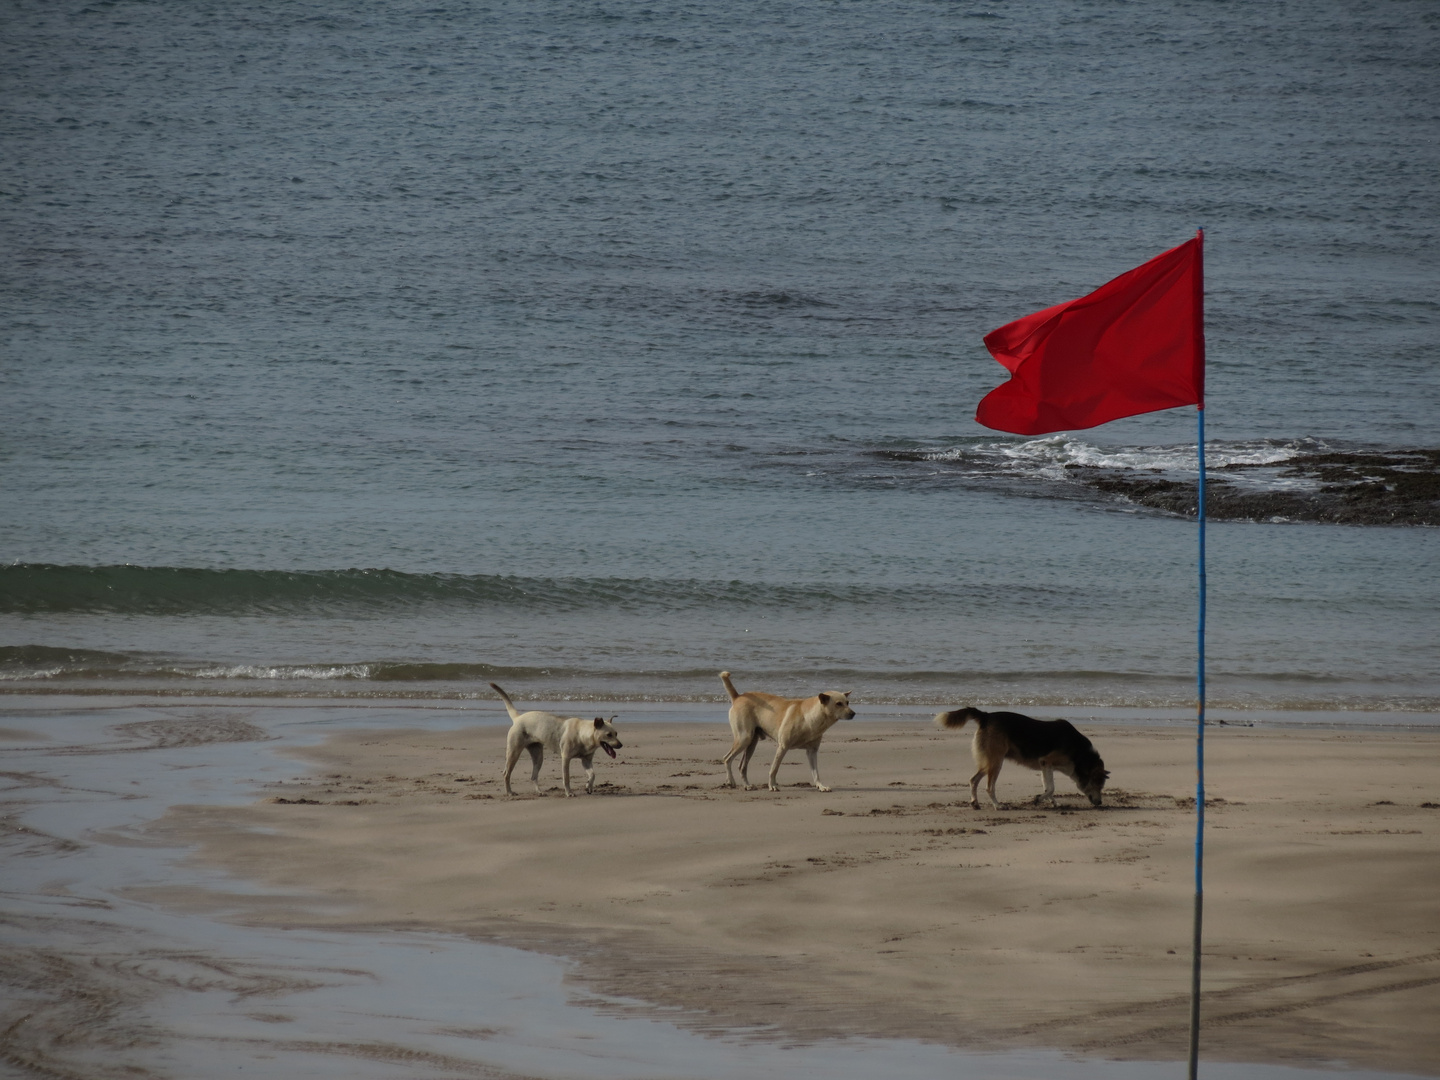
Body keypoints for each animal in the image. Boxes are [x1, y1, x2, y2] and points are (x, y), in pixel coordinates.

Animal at [492, 679, 622, 800]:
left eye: (616, 733)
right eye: (608, 734)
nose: (620, 745)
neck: (583, 734)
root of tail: (518, 718)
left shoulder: (586, 760)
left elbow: (593, 774)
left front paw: (588, 786)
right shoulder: (566, 758)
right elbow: (566, 778)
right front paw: (569, 793)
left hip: (538, 755)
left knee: (533, 776)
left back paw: (539, 792)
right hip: (514, 752)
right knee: (506, 773)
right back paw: (509, 792)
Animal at [720, 673, 852, 789]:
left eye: (847, 702)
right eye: (838, 704)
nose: (853, 713)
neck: (809, 718)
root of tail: (738, 696)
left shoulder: (812, 751)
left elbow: (816, 773)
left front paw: (821, 786)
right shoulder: (783, 747)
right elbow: (774, 769)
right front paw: (772, 785)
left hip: (752, 743)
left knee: (742, 766)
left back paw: (746, 785)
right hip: (744, 738)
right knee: (727, 759)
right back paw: (731, 781)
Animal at [938, 705, 1105, 806]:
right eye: (1099, 784)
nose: (1100, 803)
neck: (1080, 754)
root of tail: (986, 716)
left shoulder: (1045, 766)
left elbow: (1048, 787)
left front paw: (1052, 802)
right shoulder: (1046, 762)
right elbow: (1051, 787)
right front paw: (1038, 799)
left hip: (989, 762)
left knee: (973, 780)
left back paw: (975, 803)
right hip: (996, 762)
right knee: (989, 787)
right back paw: (997, 806)